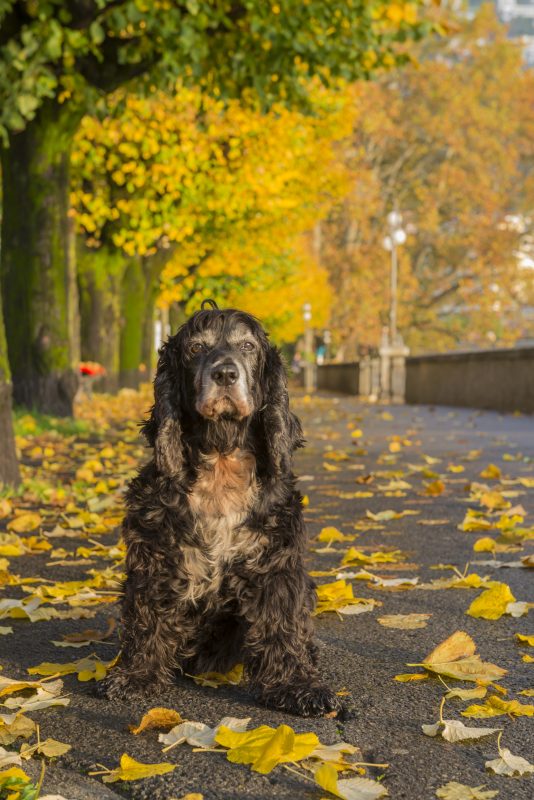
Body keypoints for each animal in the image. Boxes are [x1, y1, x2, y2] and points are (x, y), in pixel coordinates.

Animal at [100, 302, 344, 720]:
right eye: (196, 348)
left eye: (247, 346)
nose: (226, 373)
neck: (221, 463)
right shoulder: (156, 553)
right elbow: (148, 617)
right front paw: (136, 675)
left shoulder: (276, 561)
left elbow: (281, 623)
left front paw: (296, 685)